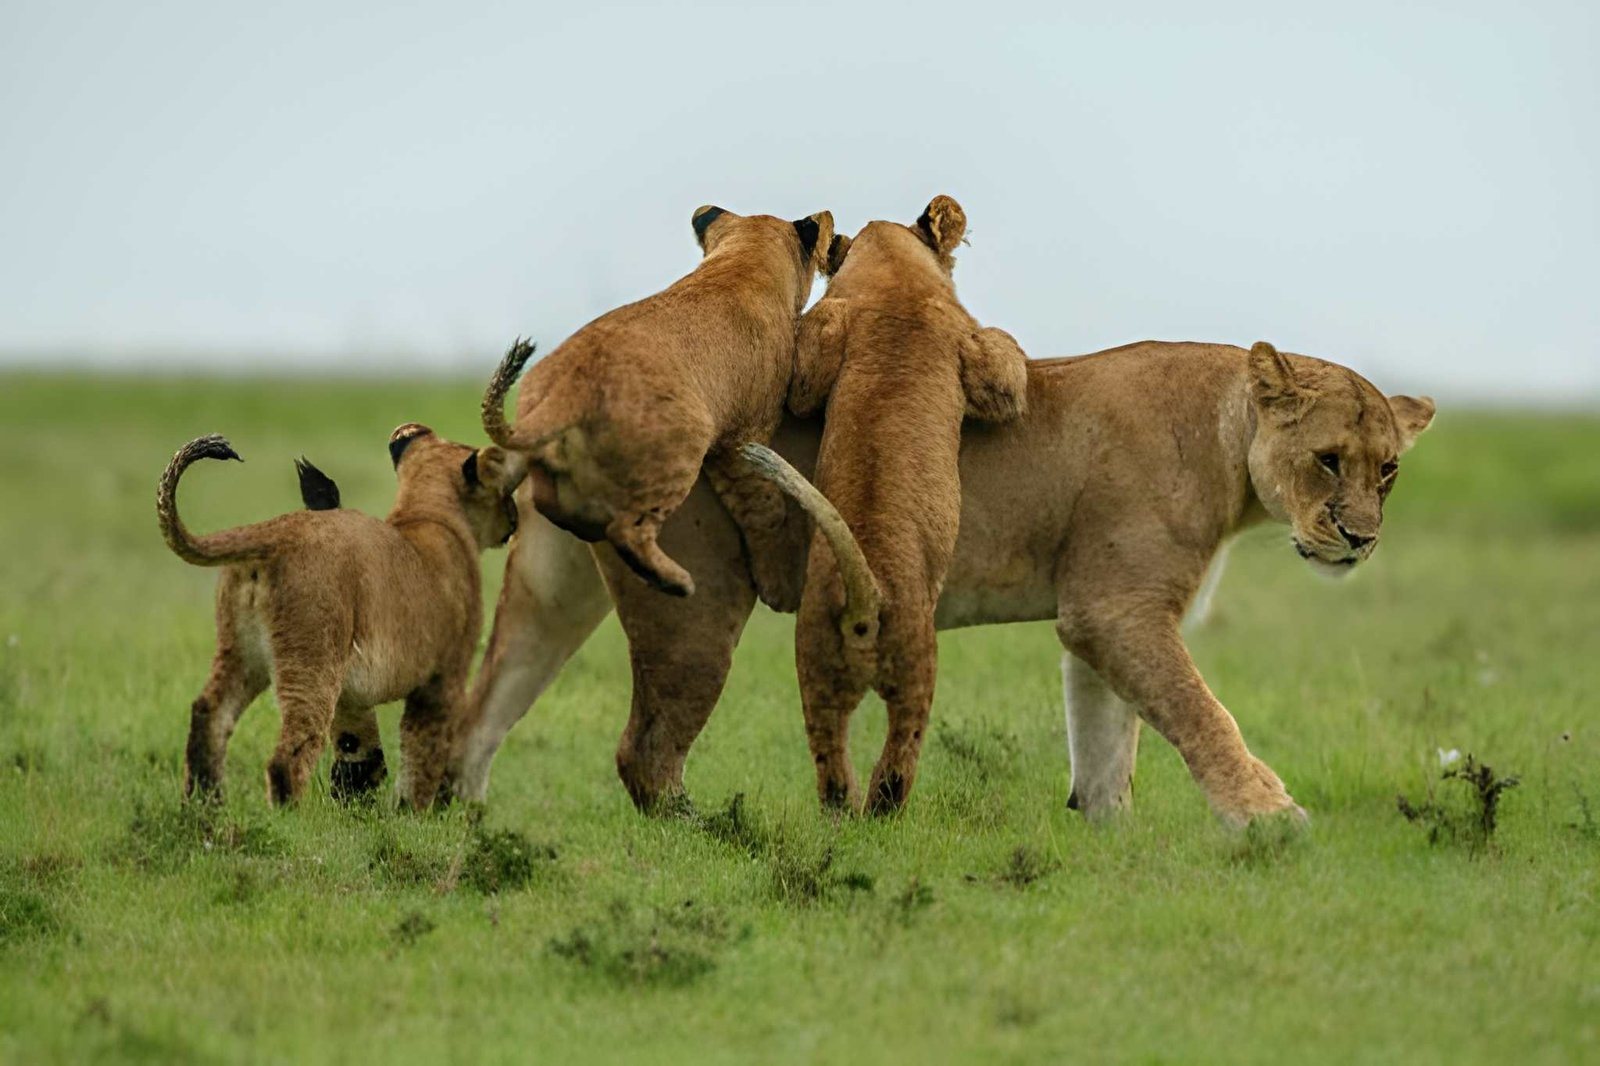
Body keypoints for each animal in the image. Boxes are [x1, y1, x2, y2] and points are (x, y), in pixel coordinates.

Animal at [158, 424, 522, 808]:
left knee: (209, 714)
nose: (516, 516)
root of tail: (272, 531)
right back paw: (288, 820)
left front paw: (356, 810)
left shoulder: (352, 692)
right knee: (288, 757)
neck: (428, 513)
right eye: (505, 486)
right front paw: (415, 815)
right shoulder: (443, 678)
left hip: (241, 653)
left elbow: (359, 756)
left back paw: (203, 806)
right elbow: (422, 757)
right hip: (312, 659)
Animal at [448, 340, 1434, 827]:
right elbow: (1199, 714)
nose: (1360, 539)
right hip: (697, 603)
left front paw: (1105, 839)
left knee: (479, 713)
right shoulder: (1117, 607)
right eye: (1328, 459)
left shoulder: (1097, 616)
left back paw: (452, 823)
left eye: (1386, 469)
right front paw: (1268, 816)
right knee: (644, 751)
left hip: (555, 590)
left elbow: (1107, 740)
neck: (1232, 450)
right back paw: (712, 829)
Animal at [480, 204, 834, 604]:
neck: (740, 262)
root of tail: (570, 387)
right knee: (626, 531)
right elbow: (764, 506)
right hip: (681, 450)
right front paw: (780, 581)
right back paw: (677, 581)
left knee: (537, 494)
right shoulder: (743, 438)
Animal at [780, 195, 1029, 814]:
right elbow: (1007, 368)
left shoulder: (825, 344)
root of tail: (864, 599)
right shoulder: (973, 351)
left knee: (830, 760)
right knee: (900, 748)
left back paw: (844, 806)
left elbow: (802, 382)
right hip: (918, 658)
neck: (893, 279)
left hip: (813, 661)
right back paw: (883, 805)